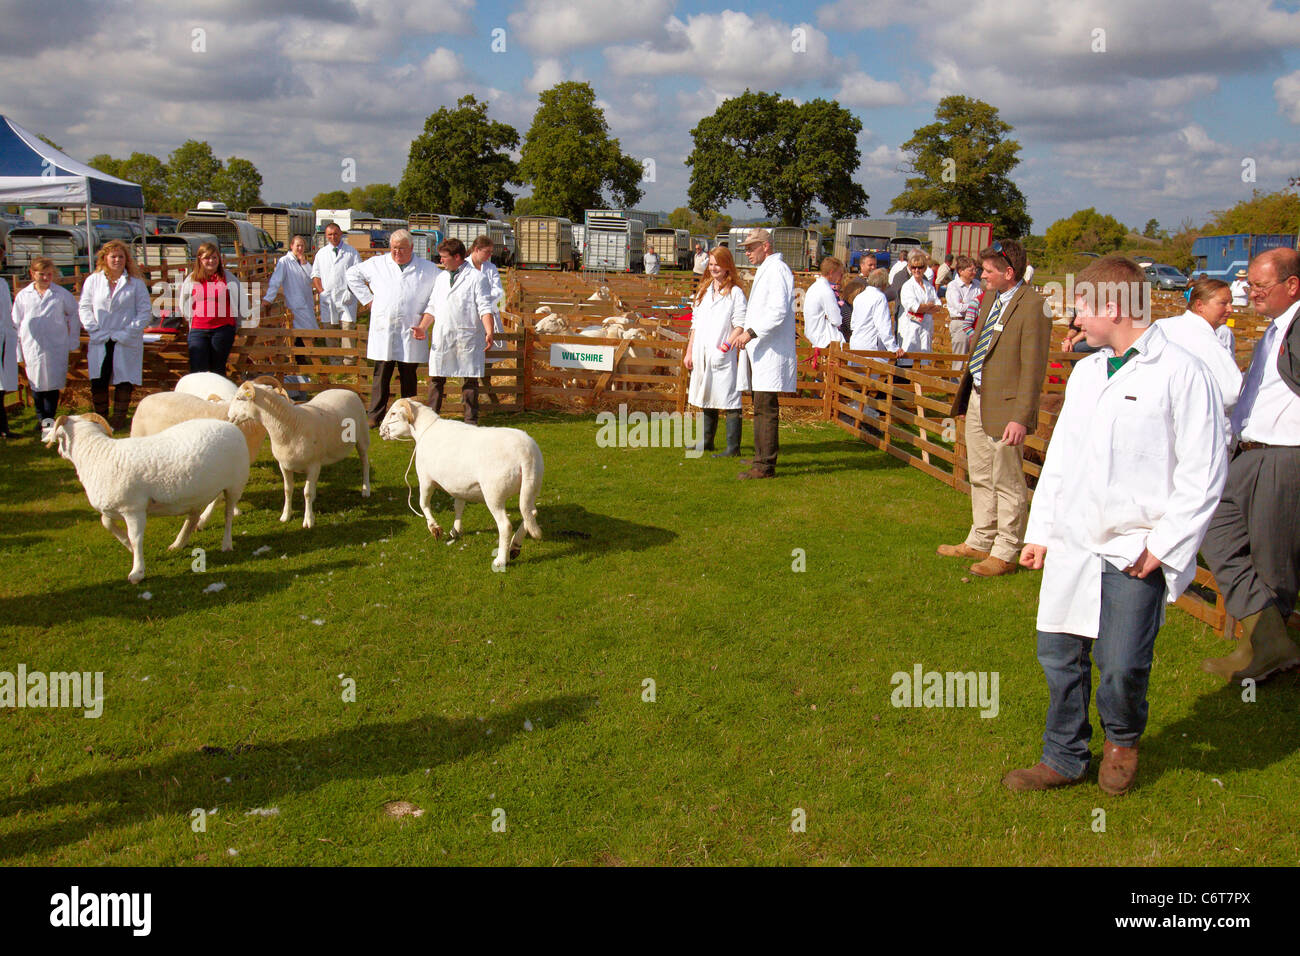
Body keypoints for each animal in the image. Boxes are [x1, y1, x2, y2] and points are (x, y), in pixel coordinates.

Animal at [43, 413, 248, 582]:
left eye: (59, 436)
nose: (59, 452)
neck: (97, 455)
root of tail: (230, 425)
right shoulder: (114, 506)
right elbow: (106, 523)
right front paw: (128, 546)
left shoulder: (133, 509)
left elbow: (136, 537)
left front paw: (137, 572)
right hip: (197, 492)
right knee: (194, 516)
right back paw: (179, 543)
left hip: (235, 484)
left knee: (228, 514)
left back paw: (226, 544)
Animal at [227, 382, 371, 530]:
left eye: (239, 398)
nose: (228, 416)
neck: (291, 426)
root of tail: (346, 390)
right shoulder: (284, 465)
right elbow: (287, 490)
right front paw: (286, 515)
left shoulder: (313, 465)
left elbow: (307, 492)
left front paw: (308, 519)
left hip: (363, 438)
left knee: (365, 463)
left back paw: (366, 489)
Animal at [377, 400, 543, 572]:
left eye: (393, 413)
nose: (380, 430)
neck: (426, 429)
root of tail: (526, 454)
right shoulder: (460, 487)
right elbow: (458, 506)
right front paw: (455, 531)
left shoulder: (425, 479)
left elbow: (423, 504)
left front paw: (435, 529)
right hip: (531, 487)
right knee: (531, 513)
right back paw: (514, 546)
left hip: (494, 493)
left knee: (505, 525)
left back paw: (501, 560)